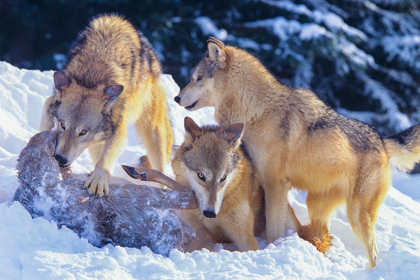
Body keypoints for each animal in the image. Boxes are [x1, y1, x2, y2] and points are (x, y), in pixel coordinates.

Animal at [39, 13, 174, 197]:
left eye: (83, 132)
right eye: (62, 125)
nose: (60, 159)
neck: (91, 75)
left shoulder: (118, 128)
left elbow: (105, 159)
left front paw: (98, 180)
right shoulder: (50, 102)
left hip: (154, 135)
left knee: (160, 172)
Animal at [174, 36, 420, 266]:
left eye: (198, 78)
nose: (176, 97)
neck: (257, 112)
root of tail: (382, 141)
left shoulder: (275, 184)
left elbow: (274, 229)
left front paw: (271, 251)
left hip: (358, 216)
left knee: (373, 252)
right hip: (316, 206)